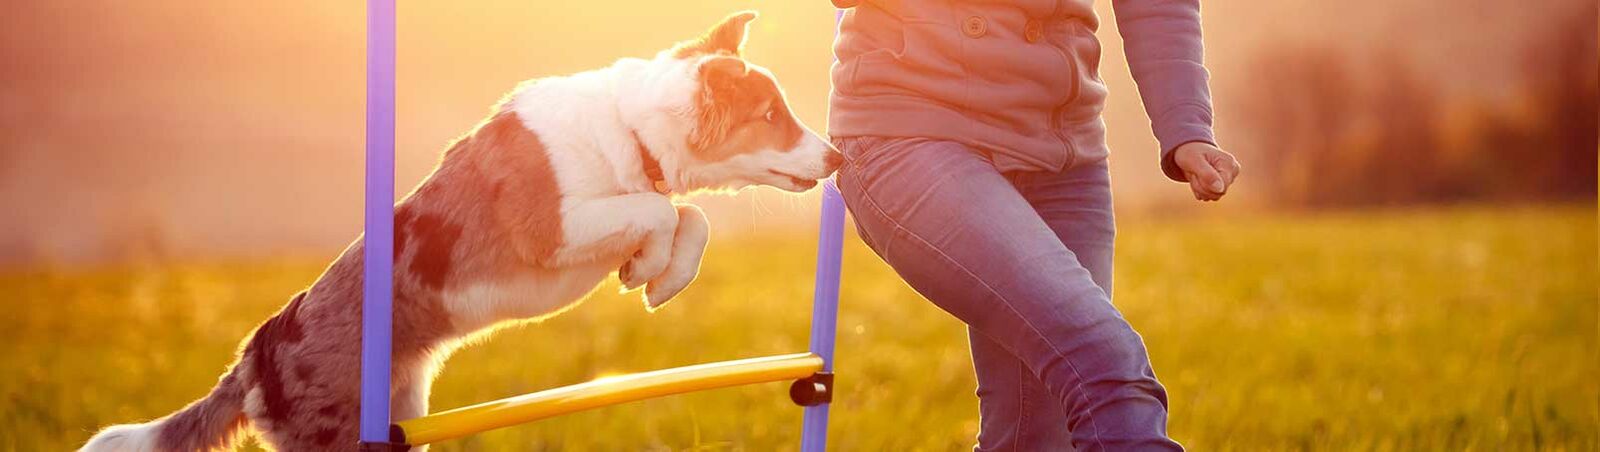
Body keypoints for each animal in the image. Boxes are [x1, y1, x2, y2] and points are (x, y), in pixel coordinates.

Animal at [81, 11, 844, 452]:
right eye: (772, 116)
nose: (838, 158)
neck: (628, 129)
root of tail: (252, 356)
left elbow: (691, 215)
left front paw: (656, 276)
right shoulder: (554, 227)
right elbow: (666, 211)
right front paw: (652, 269)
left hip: (402, 411)